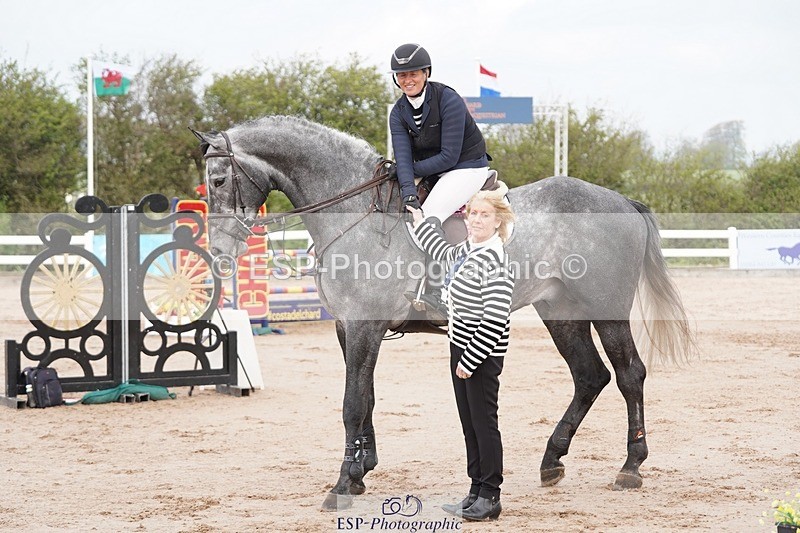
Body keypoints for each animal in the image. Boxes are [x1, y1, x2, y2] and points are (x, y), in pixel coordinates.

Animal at [191, 116, 694, 510]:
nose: (218, 253)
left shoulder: (364, 326)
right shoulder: (348, 328)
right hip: (560, 311)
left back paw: (630, 467)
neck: (350, 209)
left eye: (218, 181)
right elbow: (367, 398)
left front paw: (342, 484)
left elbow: (352, 403)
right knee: (590, 376)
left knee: (629, 374)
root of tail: (621, 201)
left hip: (606, 311)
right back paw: (552, 461)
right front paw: (361, 471)